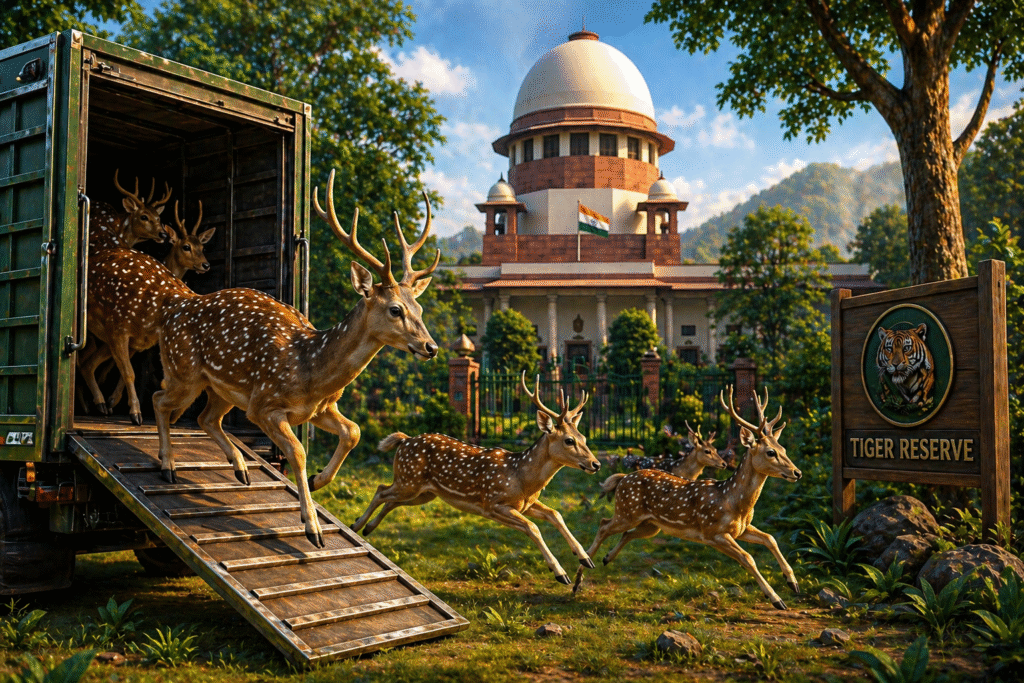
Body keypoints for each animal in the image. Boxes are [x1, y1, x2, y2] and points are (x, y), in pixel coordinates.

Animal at [152, 168, 440, 548]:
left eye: (419, 308)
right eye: (395, 309)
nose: (431, 347)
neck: (311, 369)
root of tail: (171, 310)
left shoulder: (318, 408)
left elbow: (354, 431)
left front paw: (319, 481)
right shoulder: (265, 404)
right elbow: (299, 452)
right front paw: (312, 527)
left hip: (223, 389)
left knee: (205, 418)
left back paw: (240, 467)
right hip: (183, 371)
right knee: (160, 398)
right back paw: (168, 465)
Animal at [351, 371, 602, 584]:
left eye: (584, 437)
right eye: (569, 440)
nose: (596, 464)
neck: (523, 479)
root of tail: (404, 440)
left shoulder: (525, 504)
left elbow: (555, 514)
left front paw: (585, 558)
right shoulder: (492, 504)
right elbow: (533, 527)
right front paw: (560, 573)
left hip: (424, 492)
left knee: (391, 500)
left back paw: (369, 528)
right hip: (409, 480)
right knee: (381, 490)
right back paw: (357, 524)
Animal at [574, 385, 802, 610]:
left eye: (783, 448)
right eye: (771, 452)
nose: (797, 472)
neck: (734, 502)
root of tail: (623, 478)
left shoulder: (740, 529)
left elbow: (770, 538)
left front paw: (793, 583)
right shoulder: (712, 532)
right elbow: (748, 557)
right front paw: (776, 599)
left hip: (651, 525)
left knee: (626, 533)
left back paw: (605, 559)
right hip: (627, 512)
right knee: (604, 525)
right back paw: (579, 577)